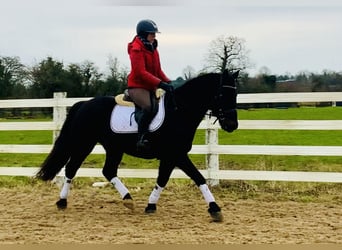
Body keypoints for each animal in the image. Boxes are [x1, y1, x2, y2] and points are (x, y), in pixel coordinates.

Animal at [35, 68, 238, 221]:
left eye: (235, 94)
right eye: (222, 94)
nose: (232, 125)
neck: (179, 111)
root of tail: (84, 104)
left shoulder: (172, 157)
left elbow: (163, 180)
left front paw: (150, 205)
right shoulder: (176, 155)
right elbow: (198, 177)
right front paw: (215, 209)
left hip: (113, 148)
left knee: (108, 170)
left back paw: (128, 199)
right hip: (84, 143)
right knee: (71, 168)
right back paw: (62, 202)